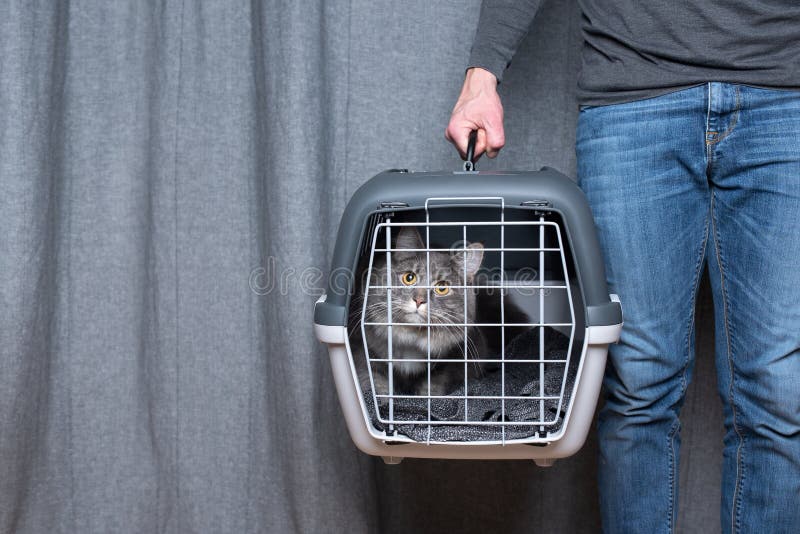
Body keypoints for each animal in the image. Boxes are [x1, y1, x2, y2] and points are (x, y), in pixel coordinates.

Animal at [352, 227, 488, 406]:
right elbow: (374, 385)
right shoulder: (364, 354)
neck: (412, 340)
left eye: (442, 288)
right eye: (409, 278)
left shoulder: (445, 368)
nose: (419, 300)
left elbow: (430, 391)